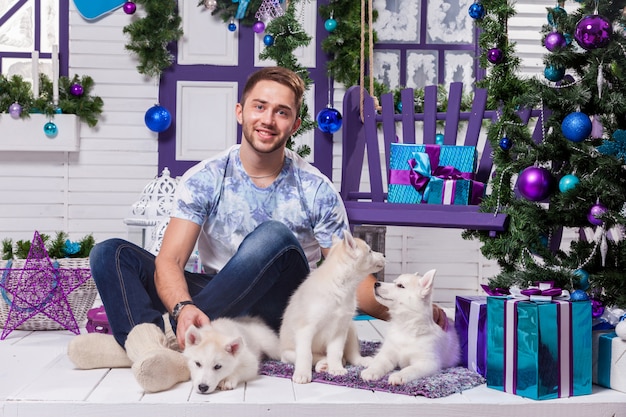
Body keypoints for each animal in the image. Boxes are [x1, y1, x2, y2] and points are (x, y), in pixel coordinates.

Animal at [280, 231, 386, 384]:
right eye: (370, 251)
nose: (384, 255)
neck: (341, 286)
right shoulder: (305, 330)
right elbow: (306, 355)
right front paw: (302, 374)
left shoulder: (340, 329)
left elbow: (336, 352)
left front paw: (336, 368)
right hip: (288, 353)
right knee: (315, 356)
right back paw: (322, 364)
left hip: (351, 329)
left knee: (351, 355)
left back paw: (361, 361)